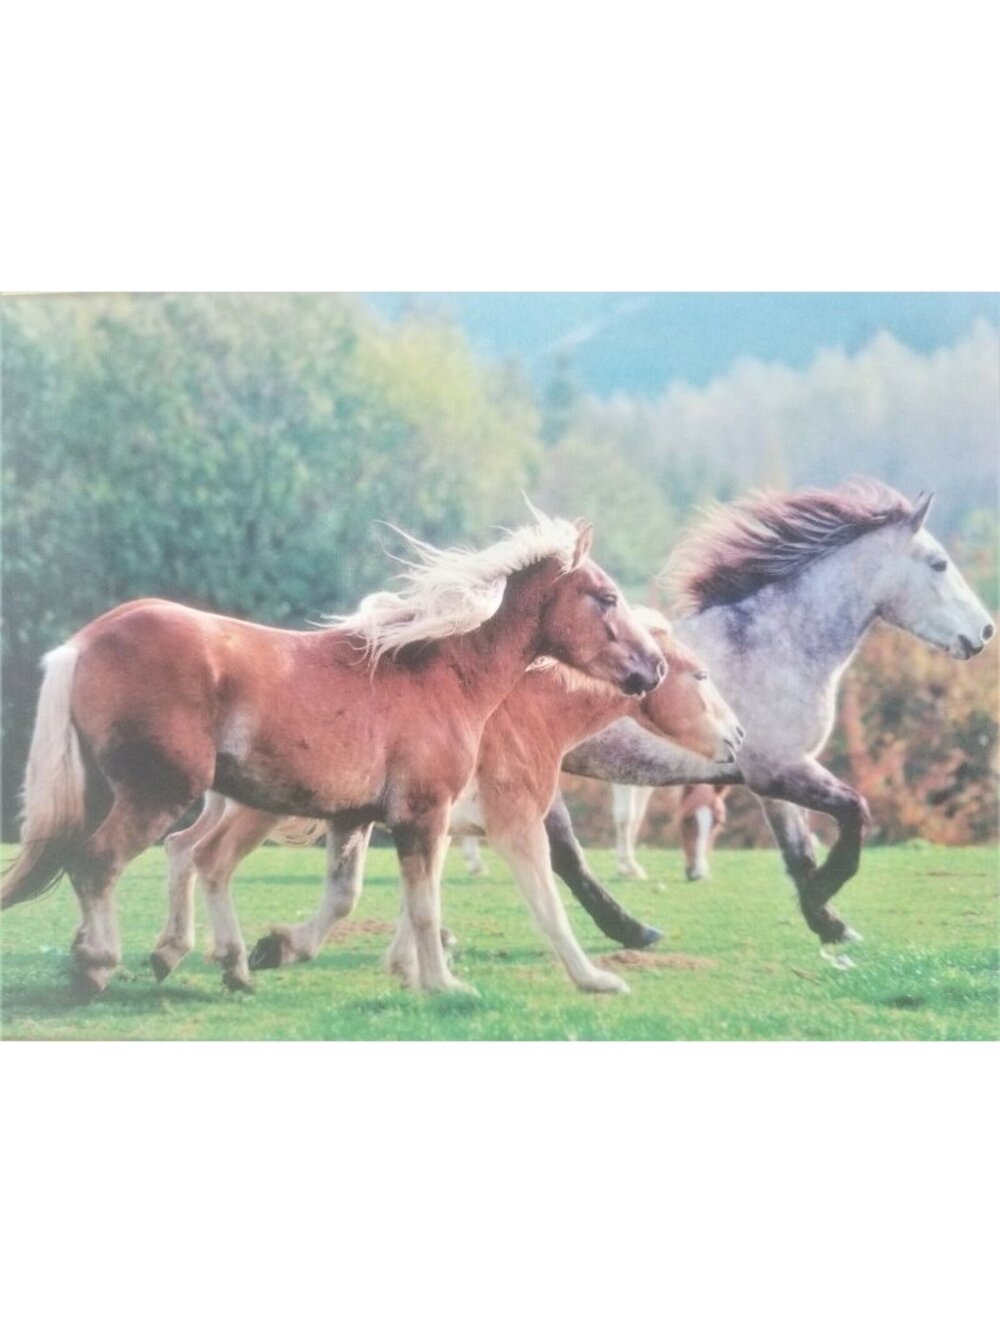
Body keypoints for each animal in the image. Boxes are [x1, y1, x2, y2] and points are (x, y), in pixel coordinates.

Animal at [2, 511, 667, 997]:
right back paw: (101, 964)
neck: (438, 675)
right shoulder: (427, 816)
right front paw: (446, 986)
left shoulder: (365, 820)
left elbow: (375, 898)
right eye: (606, 598)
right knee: (101, 863)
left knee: (172, 860)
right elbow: (433, 906)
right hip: (159, 795)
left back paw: (204, 962)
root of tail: (82, 643)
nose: (654, 667)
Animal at [155, 609, 742, 993]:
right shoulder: (498, 823)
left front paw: (408, 963)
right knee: (201, 857)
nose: (737, 735)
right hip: (261, 808)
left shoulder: (416, 821)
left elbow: (406, 896)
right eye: (702, 675)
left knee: (182, 849)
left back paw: (178, 950)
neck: (516, 713)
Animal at [543, 482, 995, 964]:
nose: (985, 632)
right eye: (939, 563)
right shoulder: (778, 769)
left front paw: (828, 923)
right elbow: (854, 815)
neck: (775, 644)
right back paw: (634, 931)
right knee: (566, 855)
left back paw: (633, 931)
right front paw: (818, 900)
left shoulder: (778, 782)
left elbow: (800, 852)